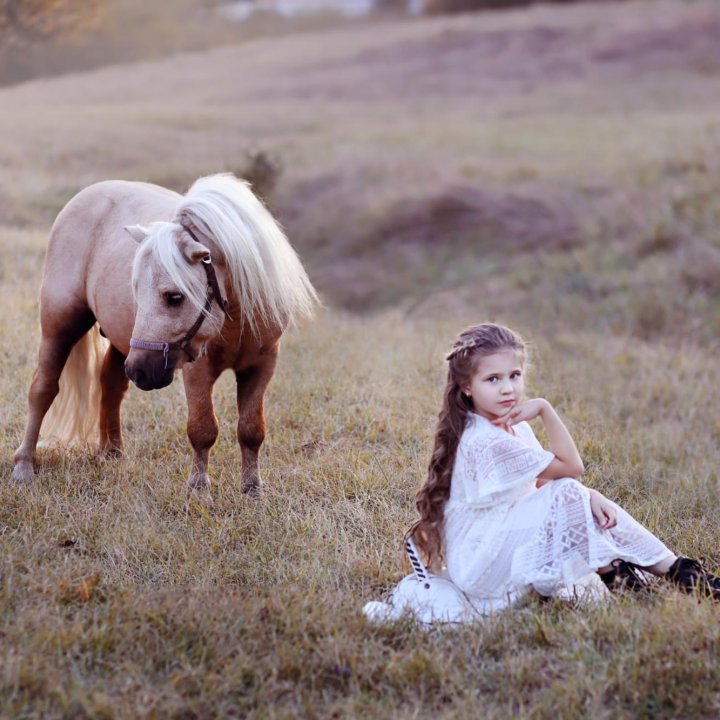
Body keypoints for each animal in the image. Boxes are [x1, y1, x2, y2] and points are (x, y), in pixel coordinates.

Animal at [11, 174, 318, 500]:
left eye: (174, 296)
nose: (141, 371)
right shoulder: (198, 369)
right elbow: (203, 428)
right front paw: (199, 490)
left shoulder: (262, 366)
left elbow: (251, 429)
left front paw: (252, 490)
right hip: (61, 326)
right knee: (43, 390)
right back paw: (24, 465)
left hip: (122, 345)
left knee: (110, 385)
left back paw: (112, 452)